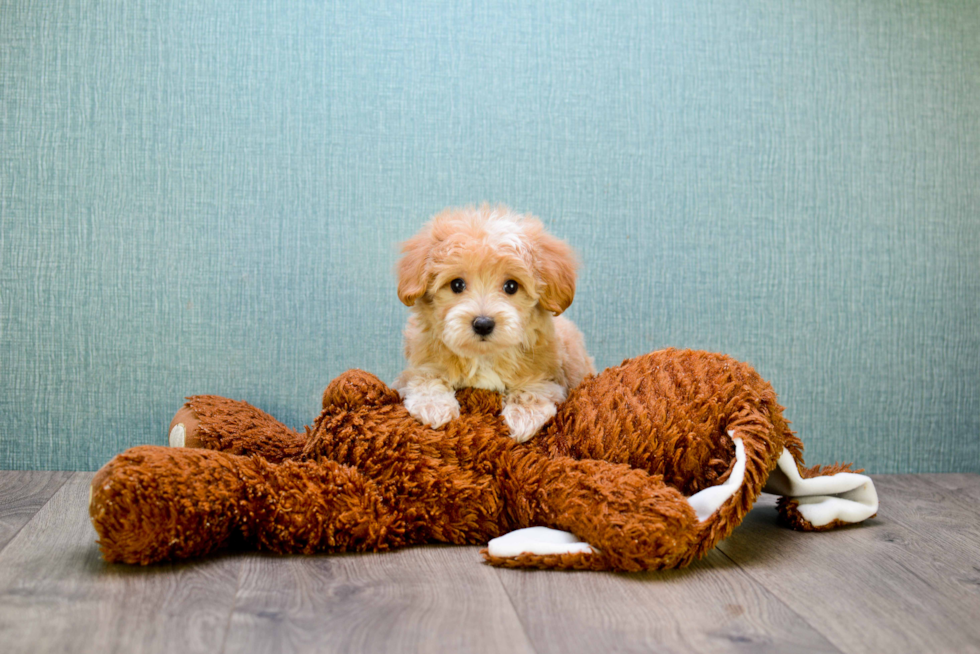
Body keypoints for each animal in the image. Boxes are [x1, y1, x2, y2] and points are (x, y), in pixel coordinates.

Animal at [392, 204, 592, 446]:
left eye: (511, 286)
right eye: (457, 284)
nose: (483, 324)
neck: (483, 356)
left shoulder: (549, 374)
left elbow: (534, 387)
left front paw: (525, 416)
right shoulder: (416, 366)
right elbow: (425, 377)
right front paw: (433, 406)